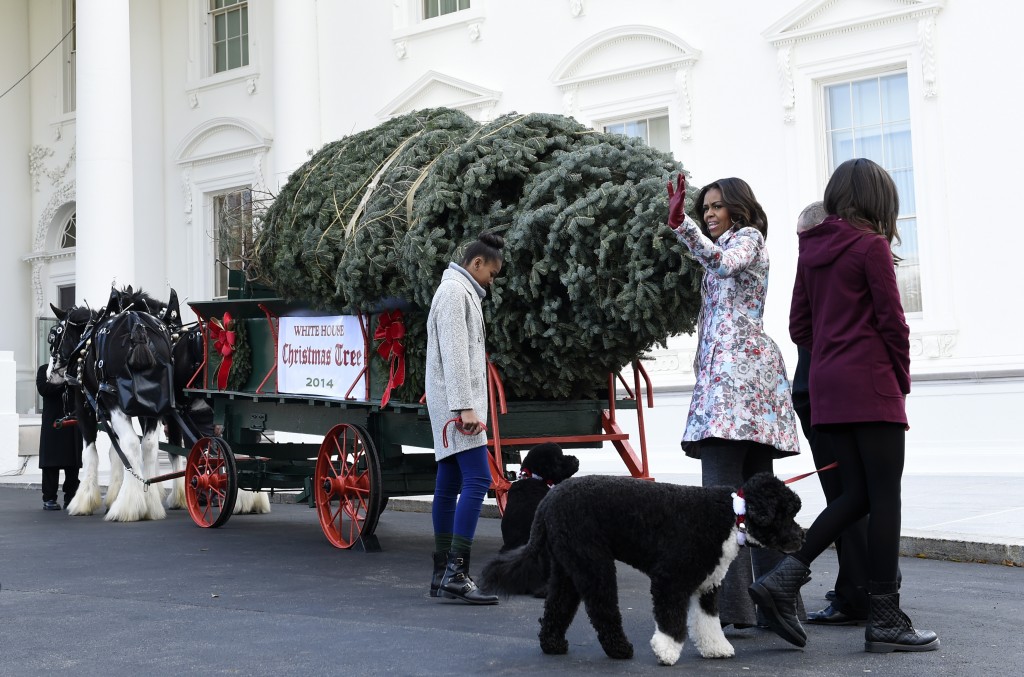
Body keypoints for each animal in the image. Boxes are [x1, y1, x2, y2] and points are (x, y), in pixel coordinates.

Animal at [481, 469, 806, 663]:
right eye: (785, 513)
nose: (802, 537)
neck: (731, 516)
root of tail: (548, 500)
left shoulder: (707, 585)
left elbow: (708, 621)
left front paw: (716, 647)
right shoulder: (669, 579)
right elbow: (671, 620)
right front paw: (667, 650)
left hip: (568, 566)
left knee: (558, 605)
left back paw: (552, 644)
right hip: (594, 564)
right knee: (602, 609)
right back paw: (619, 649)